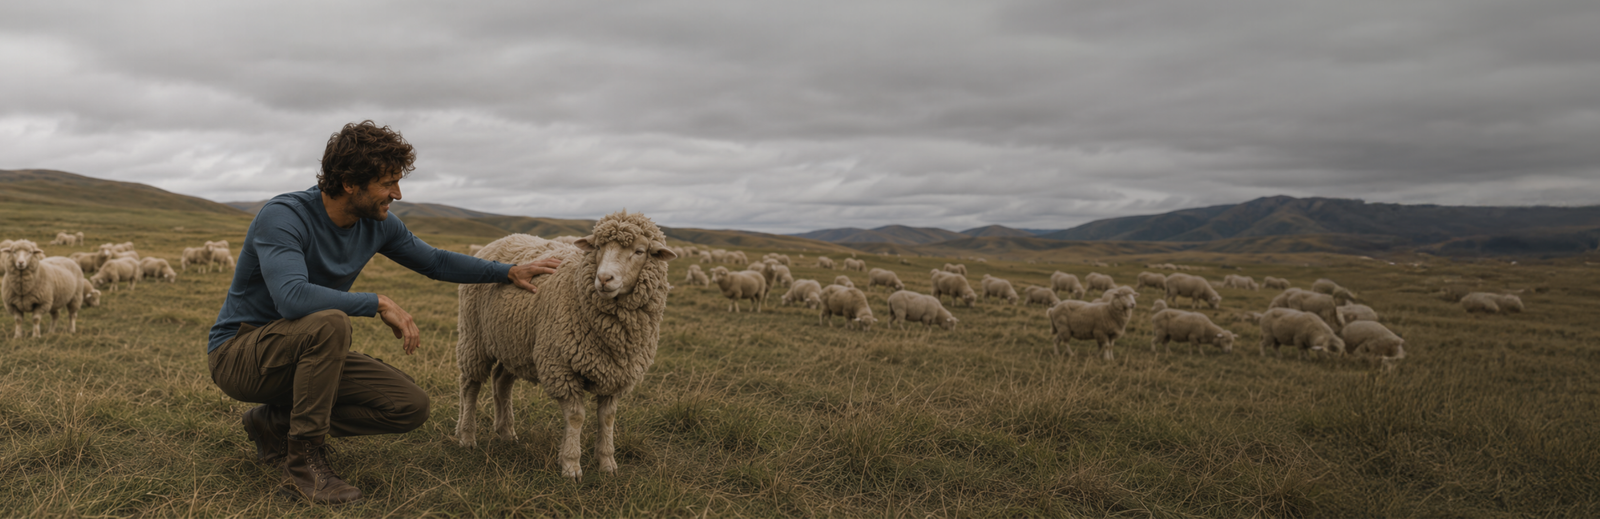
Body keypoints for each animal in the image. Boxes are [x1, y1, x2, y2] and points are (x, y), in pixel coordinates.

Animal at [454, 211, 678, 479]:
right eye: (598, 247)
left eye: (640, 251)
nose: (604, 279)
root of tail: (502, 240)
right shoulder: (560, 367)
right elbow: (576, 417)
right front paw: (571, 465)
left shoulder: (617, 373)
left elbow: (608, 418)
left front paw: (607, 463)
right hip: (474, 337)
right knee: (471, 386)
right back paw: (467, 436)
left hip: (514, 343)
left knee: (501, 382)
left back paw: (506, 432)